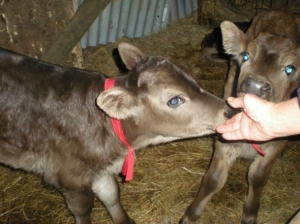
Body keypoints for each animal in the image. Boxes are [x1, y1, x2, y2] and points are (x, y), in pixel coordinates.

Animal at [0, 42, 232, 224]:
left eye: (193, 79)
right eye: (174, 100)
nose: (229, 110)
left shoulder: (99, 167)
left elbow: (111, 193)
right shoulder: (72, 176)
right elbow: (83, 210)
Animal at [180, 7, 300, 224]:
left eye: (290, 68)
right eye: (245, 56)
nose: (256, 86)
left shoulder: (275, 145)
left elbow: (258, 178)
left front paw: (250, 215)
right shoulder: (224, 139)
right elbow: (214, 179)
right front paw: (190, 216)